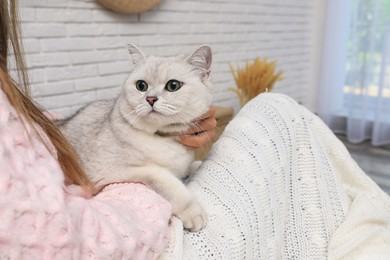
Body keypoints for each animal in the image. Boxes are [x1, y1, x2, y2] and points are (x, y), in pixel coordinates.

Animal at [59, 43, 213, 231]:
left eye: (173, 85)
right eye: (141, 86)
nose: (151, 99)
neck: (163, 137)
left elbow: (189, 167)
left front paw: (197, 164)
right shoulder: (125, 172)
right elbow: (169, 183)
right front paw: (193, 211)